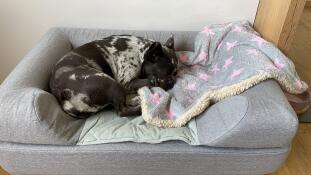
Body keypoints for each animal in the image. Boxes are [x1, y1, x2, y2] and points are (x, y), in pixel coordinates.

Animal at [49, 34, 178, 119]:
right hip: (109, 82)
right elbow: (150, 80)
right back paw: (140, 107)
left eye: (176, 72)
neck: (140, 52)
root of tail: (64, 94)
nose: (173, 80)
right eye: (165, 74)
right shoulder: (126, 83)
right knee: (122, 110)